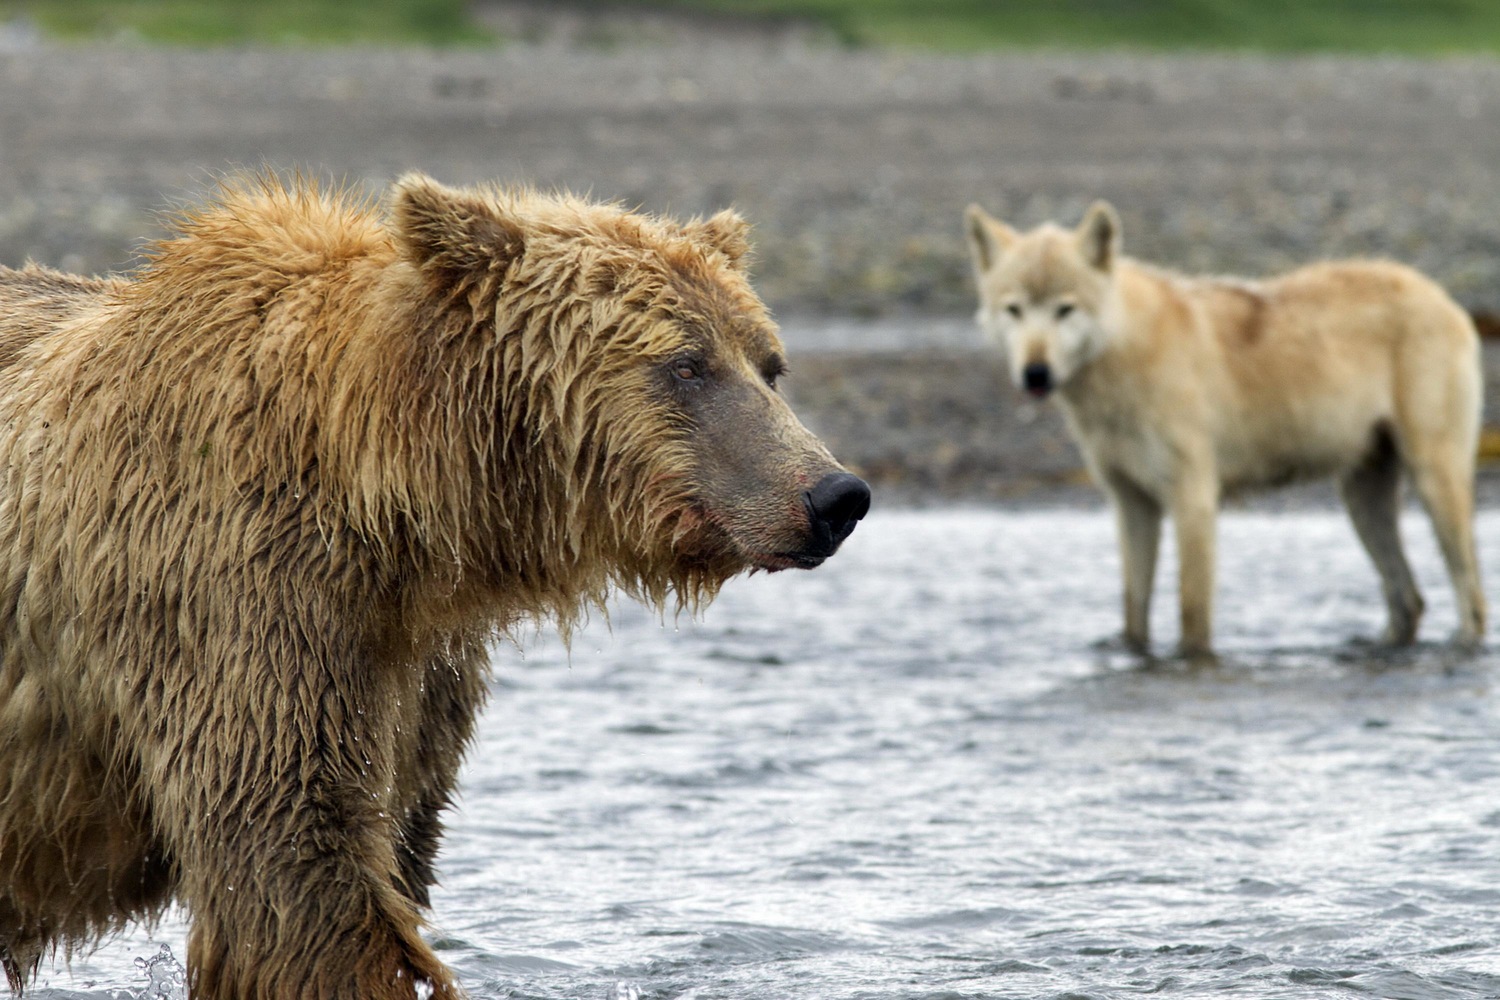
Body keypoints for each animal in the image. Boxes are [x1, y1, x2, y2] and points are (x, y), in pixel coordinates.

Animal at [0, 172, 870, 998]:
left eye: (769, 364)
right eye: (686, 365)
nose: (835, 495)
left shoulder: (418, 668)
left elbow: (397, 840)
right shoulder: (238, 600)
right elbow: (299, 866)